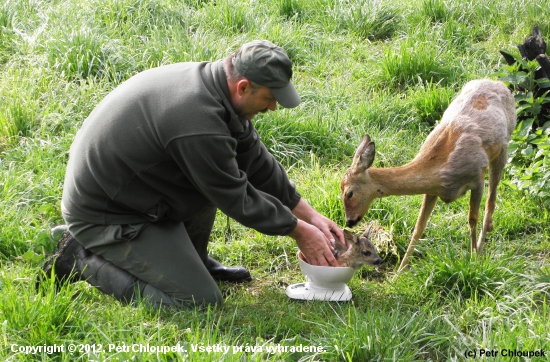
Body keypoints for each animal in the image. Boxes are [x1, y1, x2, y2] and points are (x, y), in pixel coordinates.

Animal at [340, 79, 516, 272]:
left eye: (349, 193)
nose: (349, 221)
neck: (442, 170)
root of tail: (499, 83)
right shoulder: (432, 190)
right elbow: (419, 226)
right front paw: (400, 271)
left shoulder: (477, 177)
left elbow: (472, 219)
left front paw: (474, 259)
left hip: (503, 149)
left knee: (491, 200)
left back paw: (484, 239)